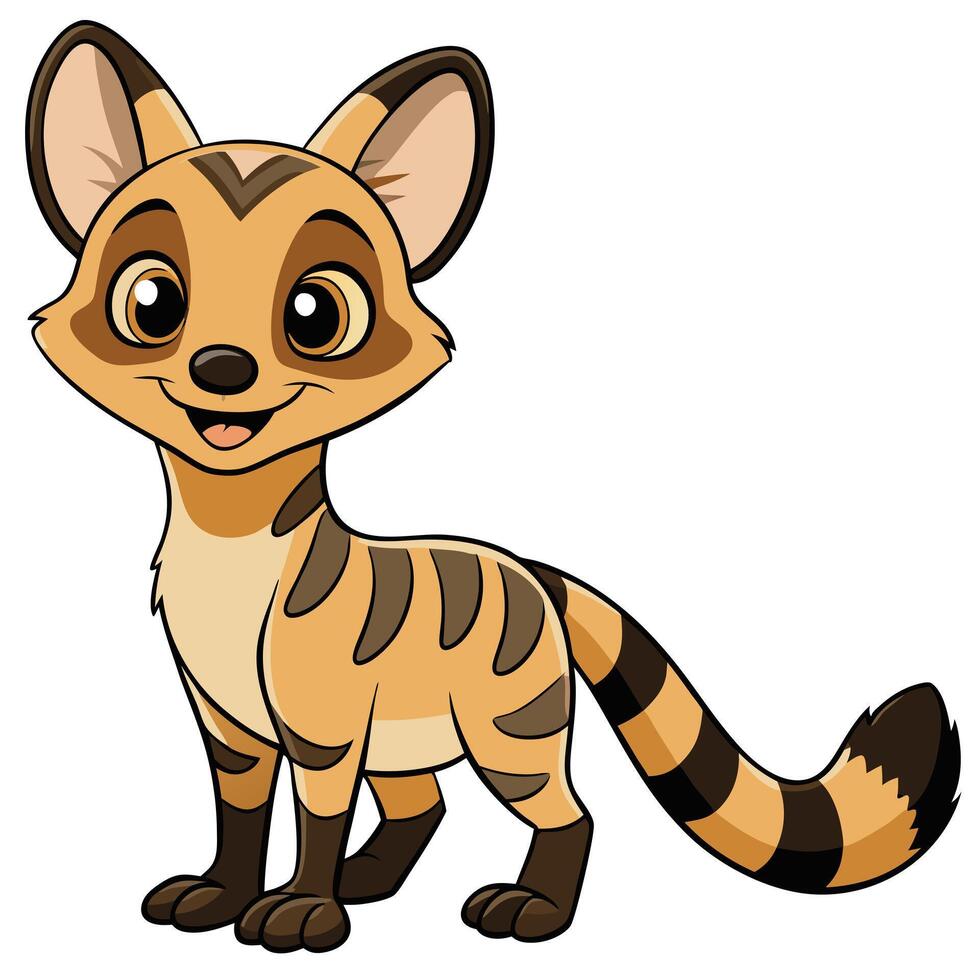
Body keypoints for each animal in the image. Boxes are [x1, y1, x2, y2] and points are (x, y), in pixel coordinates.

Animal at [26, 21, 961, 954]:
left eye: (316, 315)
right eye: (152, 301)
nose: (222, 370)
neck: (230, 542)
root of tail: (532, 571)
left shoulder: (325, 728)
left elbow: (316, 817)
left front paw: (302, 910)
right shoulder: (229, 725)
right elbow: (240, 815)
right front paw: (223, 892)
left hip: (511, 732)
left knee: (569, 814)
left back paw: (532, 909)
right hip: (415, 734)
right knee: (425, 802)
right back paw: (374, 880)